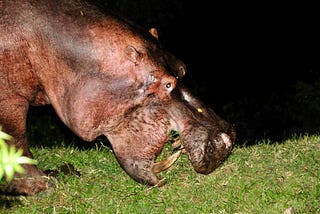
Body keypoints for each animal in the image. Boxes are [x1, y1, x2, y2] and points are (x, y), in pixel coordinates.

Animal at [0, 0, 235, 196]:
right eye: (167, 84)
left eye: (183, 67)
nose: (227, 138)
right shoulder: (10, 100)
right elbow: (16, 138)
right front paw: (42, 186)